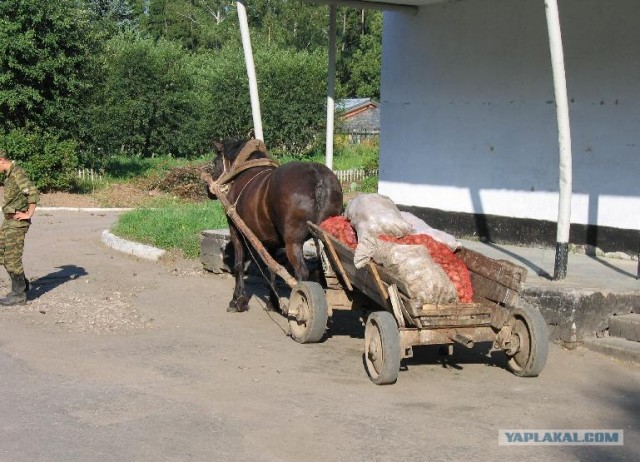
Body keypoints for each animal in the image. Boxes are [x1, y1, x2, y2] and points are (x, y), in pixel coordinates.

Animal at [204, 139, 344, 314]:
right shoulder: (271, 241)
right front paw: (273, 302)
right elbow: (272, 268)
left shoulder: (236, 230)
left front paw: (237, 300)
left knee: (302, 272)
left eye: (215, 161)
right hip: (323, 240)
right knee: (320, 270)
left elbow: (239, 264)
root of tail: (317, 177)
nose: (208, 189)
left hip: (293, 242)